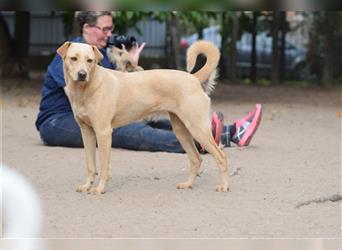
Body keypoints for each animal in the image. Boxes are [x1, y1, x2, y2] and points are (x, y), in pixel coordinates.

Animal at [56, 40, 227, 194]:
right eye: (73, 58)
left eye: (90, 60)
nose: (82, 74)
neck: (86, 88)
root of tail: (194, 78)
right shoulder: (87, 133)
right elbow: (90, 166)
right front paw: (86, 186)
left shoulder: (103, 132)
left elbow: (104, 167)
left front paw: (100, 189)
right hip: (181, 131)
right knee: (196, 159)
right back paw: (188, 184)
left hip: (198, 129)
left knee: (221, 156)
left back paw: (224, 186)